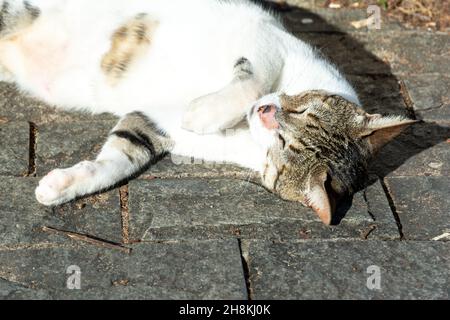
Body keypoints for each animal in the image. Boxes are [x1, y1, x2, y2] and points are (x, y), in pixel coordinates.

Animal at [0, 0, 414, 225]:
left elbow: (116, 161)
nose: (266, 111)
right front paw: (203, 111)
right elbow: (251, 79)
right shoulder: (265, 43)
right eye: (300, 110)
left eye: (282, 147)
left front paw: (61, 186)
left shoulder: (155, 121)